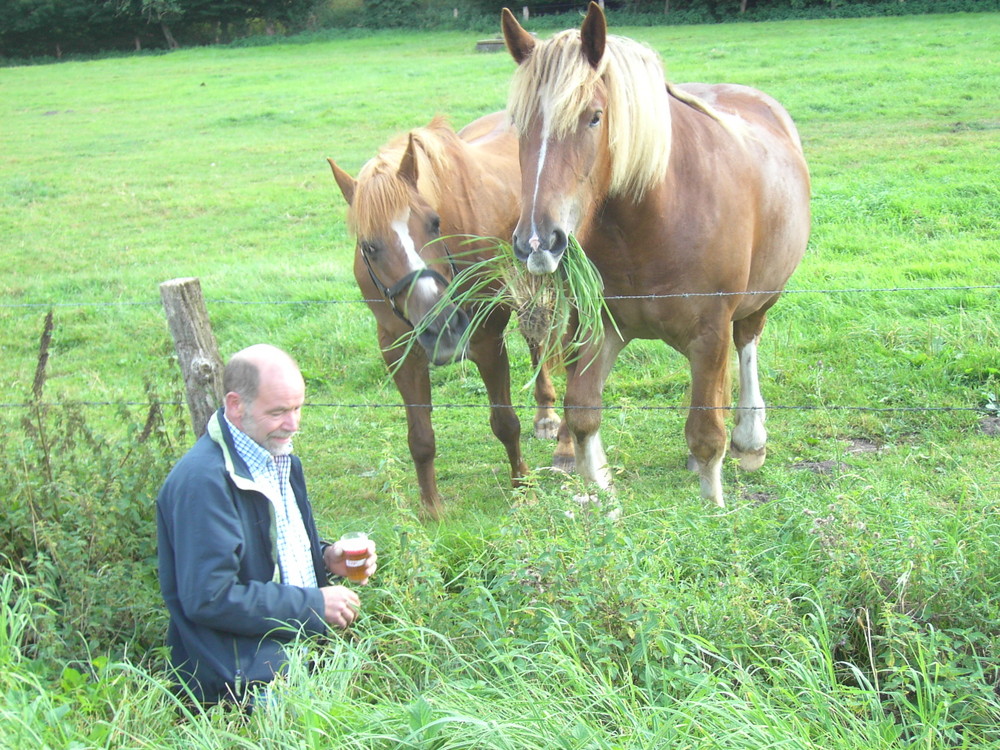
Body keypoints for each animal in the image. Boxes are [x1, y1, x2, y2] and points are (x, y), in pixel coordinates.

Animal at [330, 111, 560, 520]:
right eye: (369, 247)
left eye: (434, 222)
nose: (443, 329)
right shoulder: (398, 351)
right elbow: (420, 437)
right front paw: (431, 508)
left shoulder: (486, 340)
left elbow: (505, 422)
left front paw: (523, 488)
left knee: (539, 336)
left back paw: (548, 415)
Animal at [500, 2, 812, 508]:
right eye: (519, 125)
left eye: (594, 117)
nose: (537, 242)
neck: (653, 222)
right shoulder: (600, 328)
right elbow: (583, 413)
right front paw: (603, 497)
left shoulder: (710, 331)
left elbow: (706, 434)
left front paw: (714, 508)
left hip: (759, 301)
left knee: (747, 344)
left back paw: (751, 438)